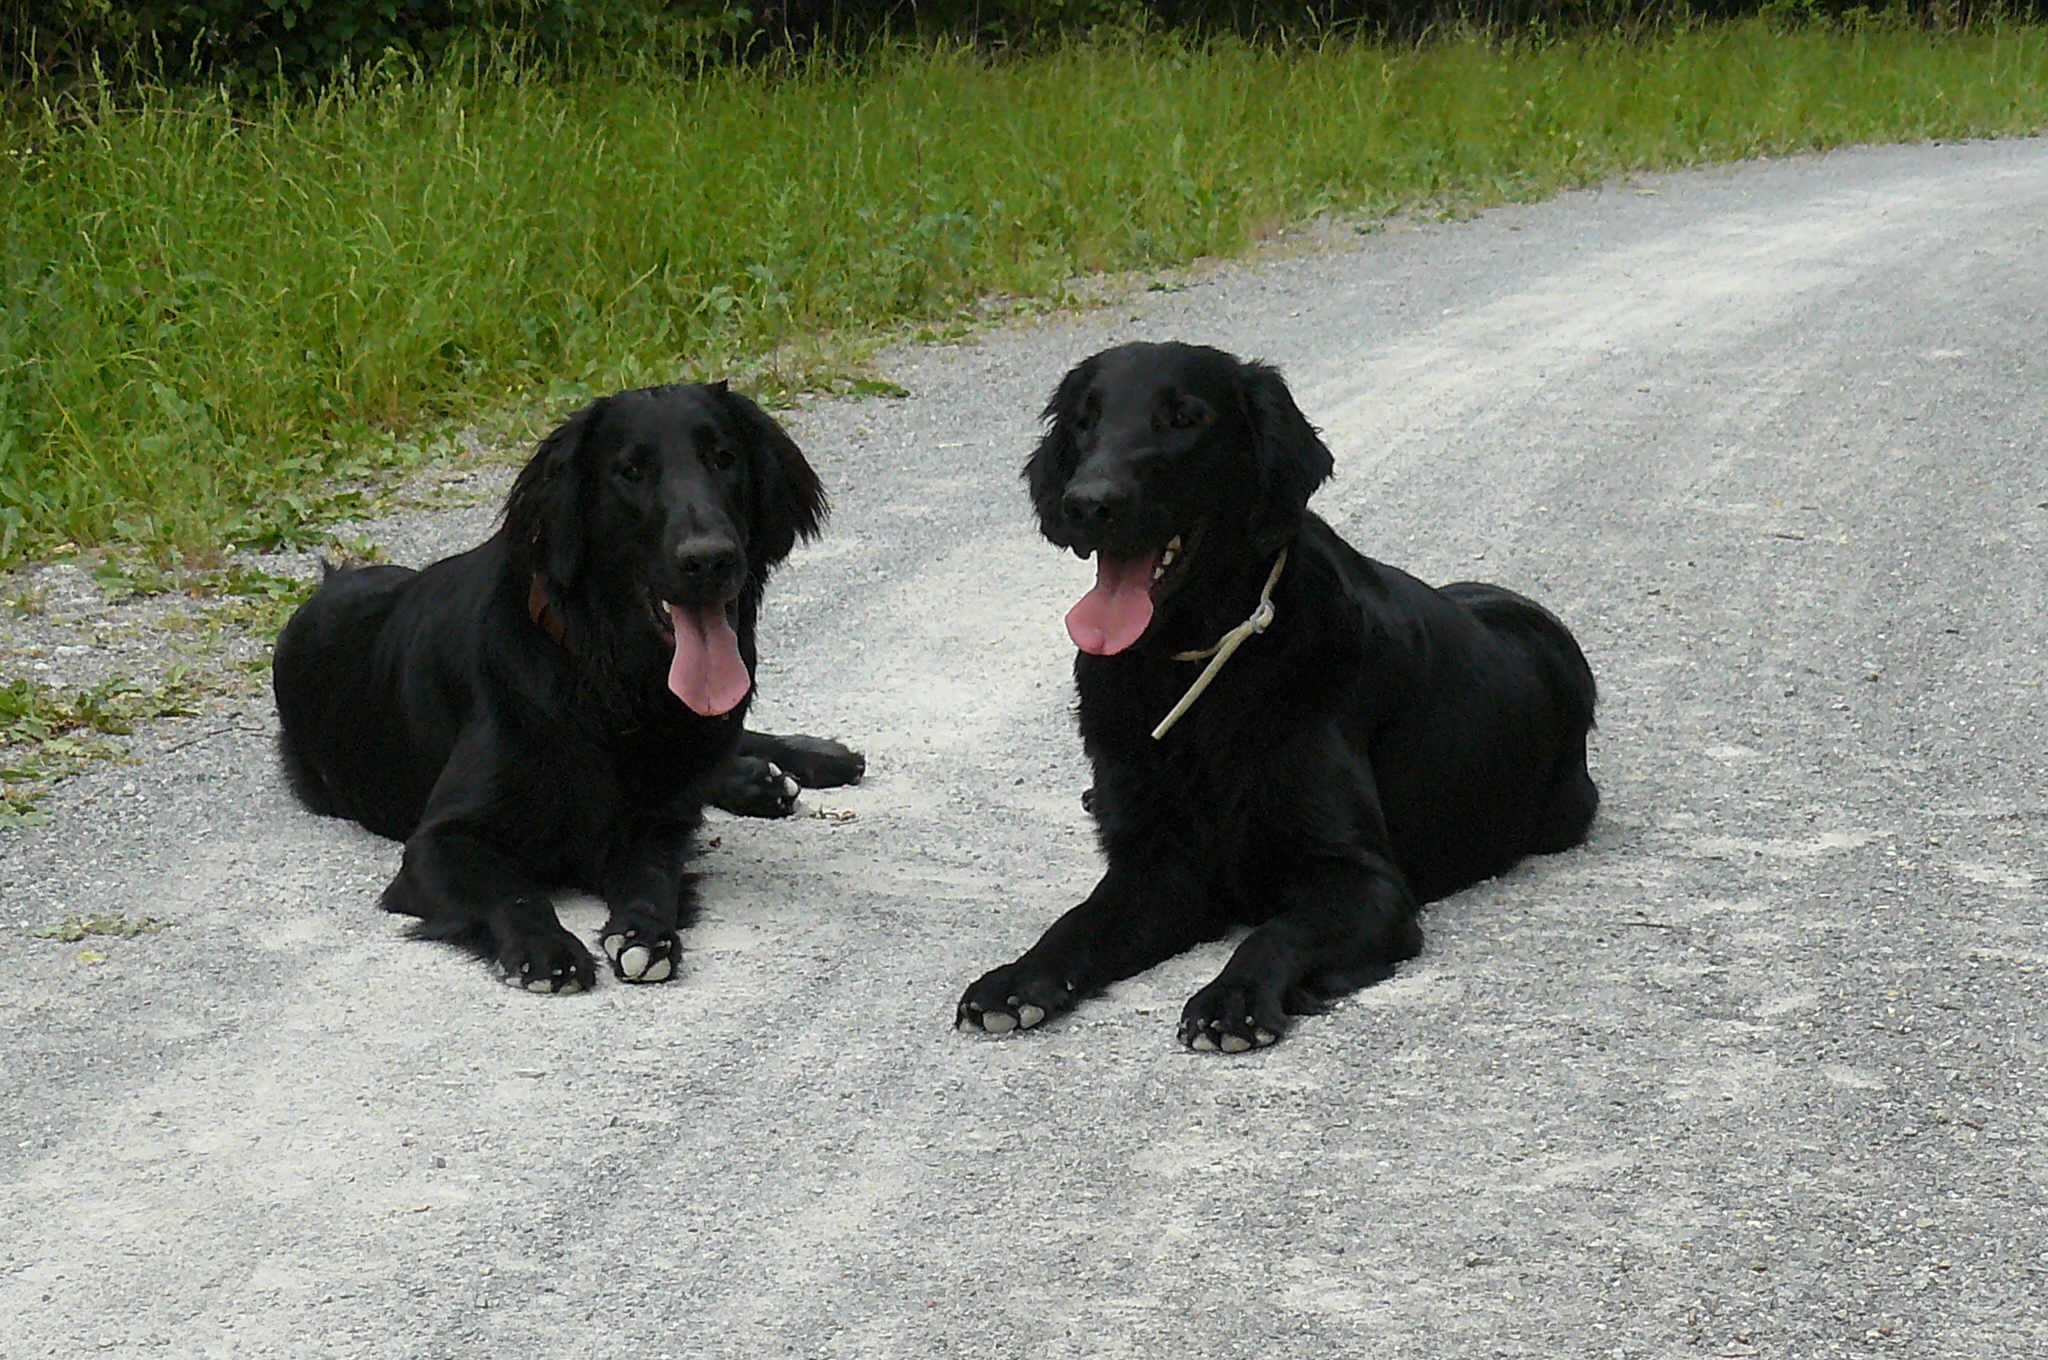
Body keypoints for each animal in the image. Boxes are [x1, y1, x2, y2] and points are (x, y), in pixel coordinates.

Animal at [273, 382, 864, 993]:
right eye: (631, 471)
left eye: (725, 459)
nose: (710, 559)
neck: (606, 680)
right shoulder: (439, 843)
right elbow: (513, 891)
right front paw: (545, 947)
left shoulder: (651, 824)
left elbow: (654, 877)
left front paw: (644, 933)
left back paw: (797, 764)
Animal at [957, 342, 1598, 1051]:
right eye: (1085, 420)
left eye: (1183, 418)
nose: (1088, 503)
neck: (1192, 667)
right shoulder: (1159, 865)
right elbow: (1079, 921)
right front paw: (1018, 979)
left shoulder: (1364, 882)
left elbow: (1275, 932)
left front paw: (1232, 998)